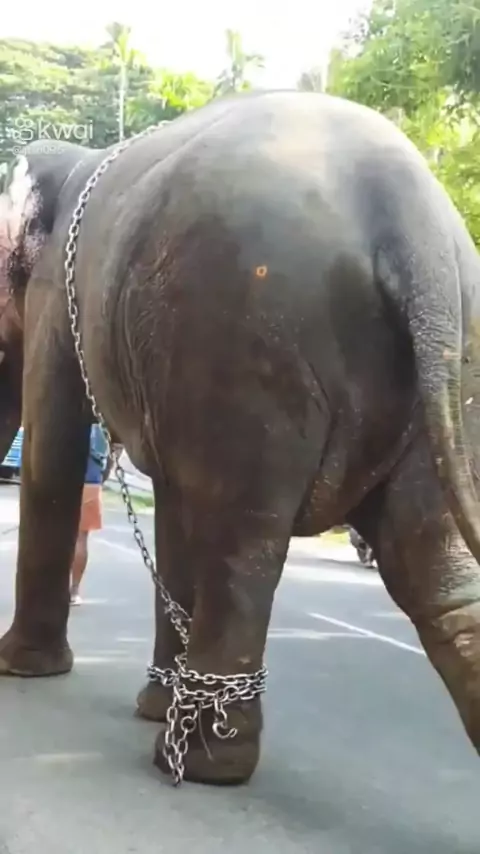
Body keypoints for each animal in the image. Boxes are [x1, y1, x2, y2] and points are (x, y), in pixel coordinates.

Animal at [1, 88, 480, 787]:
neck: (76, 163)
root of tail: (409, 209)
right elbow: (170, 503)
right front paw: (153, 702)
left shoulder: (58, 303)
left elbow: (54, 451)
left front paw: (23, 669)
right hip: (448, 368)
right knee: (435, 570)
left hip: (250, 343)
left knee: (242, 542)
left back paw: (203, 762)